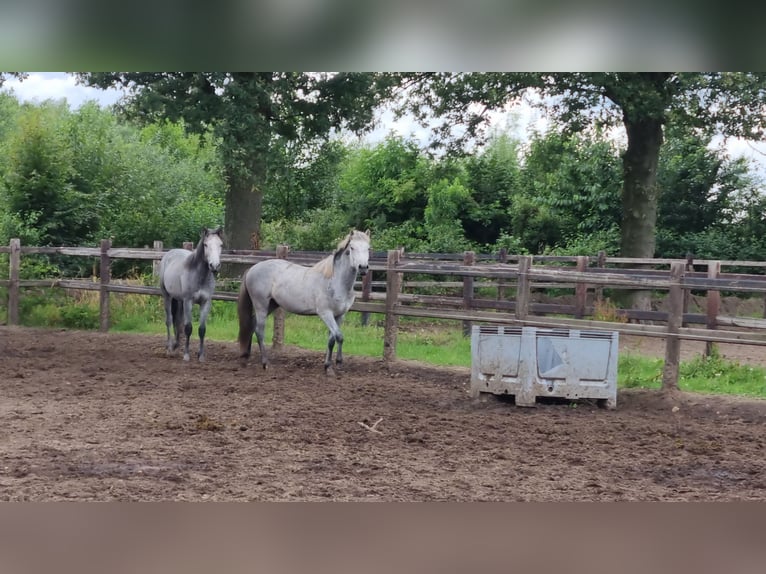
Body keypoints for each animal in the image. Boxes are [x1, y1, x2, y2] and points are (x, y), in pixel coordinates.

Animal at [159, 227, 224, 362]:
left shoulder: (205, 303)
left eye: (220, 244)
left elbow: (202, 329)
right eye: (205, 245)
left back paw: (176, 345)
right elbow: (188, 328)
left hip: (179, 300)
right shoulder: (188, 301)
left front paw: (201, 355)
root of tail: (169, 253)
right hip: (167, 296)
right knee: (169, 320)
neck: (199, 275)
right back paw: (169, 348)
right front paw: (186, 355)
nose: (215, 266)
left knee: (177, 322)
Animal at [240, 231, 372, 374]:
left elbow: (331, 340)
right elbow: (339, 336)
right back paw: (265, 363)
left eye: (368, 248)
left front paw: (328, 366)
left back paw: (247, 355)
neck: (335, 282)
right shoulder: (325, 314)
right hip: (261, 305)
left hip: (272, 305)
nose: (363, 268)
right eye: (352, 248)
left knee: (252, 324)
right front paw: (338, 362)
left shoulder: (339, 315)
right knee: (259, 331)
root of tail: (252, 269)